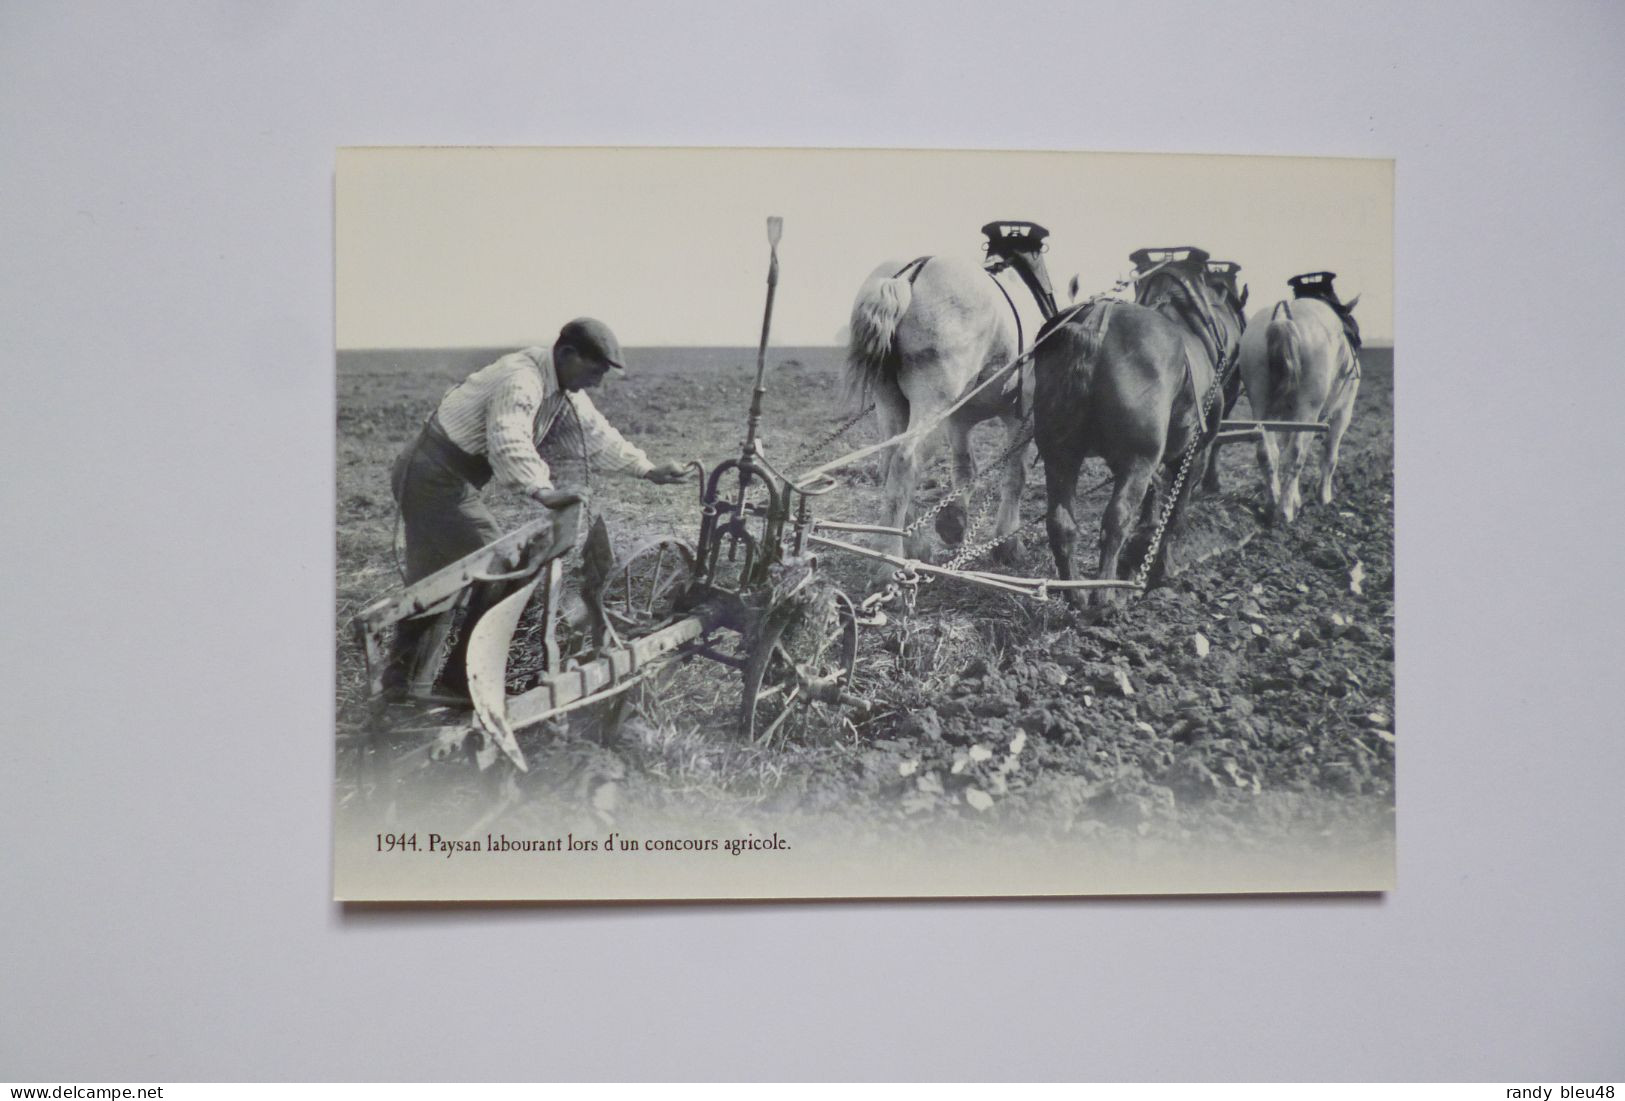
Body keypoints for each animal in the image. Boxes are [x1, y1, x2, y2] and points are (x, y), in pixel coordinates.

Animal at [845, 224, 1059, 568]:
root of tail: (909, 275)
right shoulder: (1023, 415)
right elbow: (1016, 474)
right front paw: (1007, 543)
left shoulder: (959, 419)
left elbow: (964, 468)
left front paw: (955, 522)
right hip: (932, 403)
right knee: (906, 459)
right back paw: (889, 558)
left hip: (891, 401)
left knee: (889, 460)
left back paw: (914, 544)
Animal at [1033, 245, 1248, 607]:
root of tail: (1096, 322)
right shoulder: (1193, 452)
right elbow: (1176, 513)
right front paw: (1162, 568)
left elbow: (1155, 492)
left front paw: (1144, 540)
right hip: (1139, 458)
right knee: (1115, 519)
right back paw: (1104, 599)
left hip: (1059, 454)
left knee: (1061, 523)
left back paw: (1076, 594)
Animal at [1235, 289, 1365, 522]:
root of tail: (1282, 317)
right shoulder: (1342, 413)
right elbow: (1329, 455)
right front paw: (1324, 497)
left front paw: (1296, 498)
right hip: (1308, 410)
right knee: (1296, 454)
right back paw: (1285, 510)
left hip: (1261, 405)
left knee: (1267, 452)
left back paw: (1273, 503)